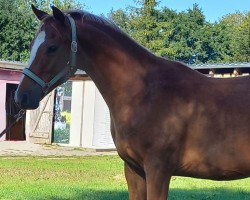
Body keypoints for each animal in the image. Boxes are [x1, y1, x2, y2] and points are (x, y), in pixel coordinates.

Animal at [15, 5, 250, 200]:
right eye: (31, 45)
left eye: (52, 47)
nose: (21, 96)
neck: (144, 92)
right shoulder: (134, 170)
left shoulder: (158, 170)